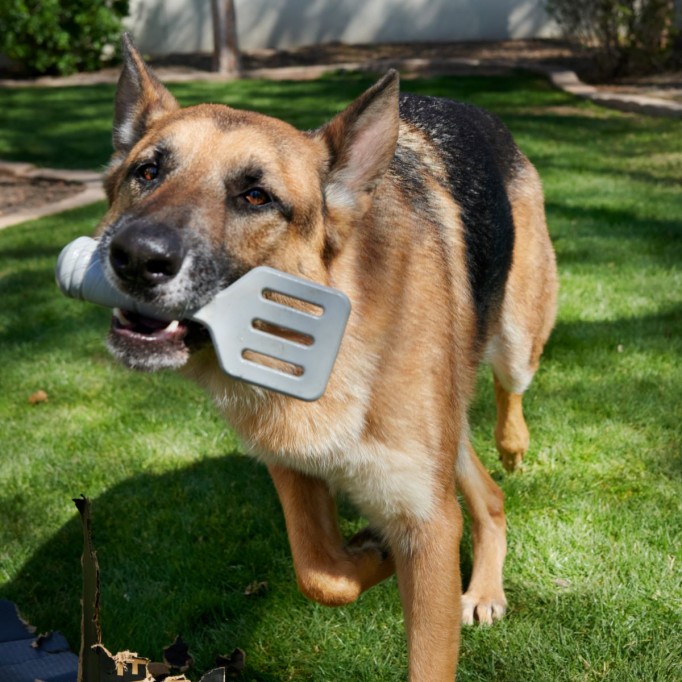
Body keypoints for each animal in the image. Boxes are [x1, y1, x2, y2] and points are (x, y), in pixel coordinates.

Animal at [99, 35, 556, 676]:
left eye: (256, 196)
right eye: (148, 171)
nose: (136, 256)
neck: (328, 341)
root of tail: (470, 107)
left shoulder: (429, 522)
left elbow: (427, 658)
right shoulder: (295, 469)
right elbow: (319, 574)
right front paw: (372, 552)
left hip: (516, 338)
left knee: (509, 391)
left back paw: (512, 447)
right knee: (488, 498)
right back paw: (484, 584)